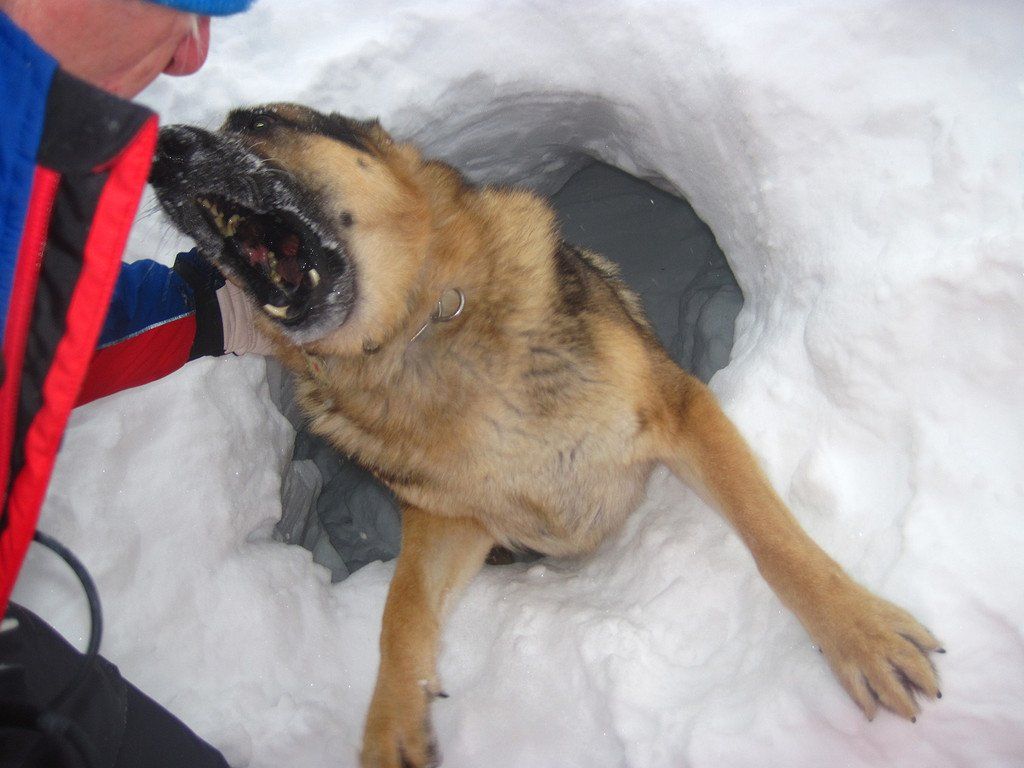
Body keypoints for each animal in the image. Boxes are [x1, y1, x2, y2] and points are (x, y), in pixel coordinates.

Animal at [150, 104, 942, 768]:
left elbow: (774, 538)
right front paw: (389, 725)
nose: (163, 146)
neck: (417, 343)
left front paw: (857, 632)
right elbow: (399, 610)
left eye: (257, 123)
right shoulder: (450, 522)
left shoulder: (679, 404)